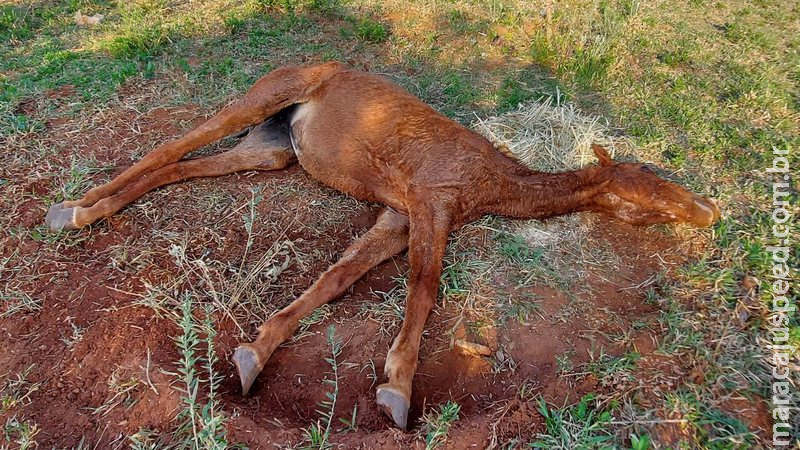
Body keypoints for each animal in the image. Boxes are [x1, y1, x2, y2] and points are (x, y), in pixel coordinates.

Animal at [45, 60, 720, 428]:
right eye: (649, 184)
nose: (709, 212)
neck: (492, 184)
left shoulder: (396, 217)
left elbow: (337, 278)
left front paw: (252, 353)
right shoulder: (427, 203)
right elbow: (424, 289)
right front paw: (396, 389)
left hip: (272, 148)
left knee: (181, 167)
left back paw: (87, 209)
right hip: (263, 98)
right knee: (173, 145)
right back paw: (74, 207)